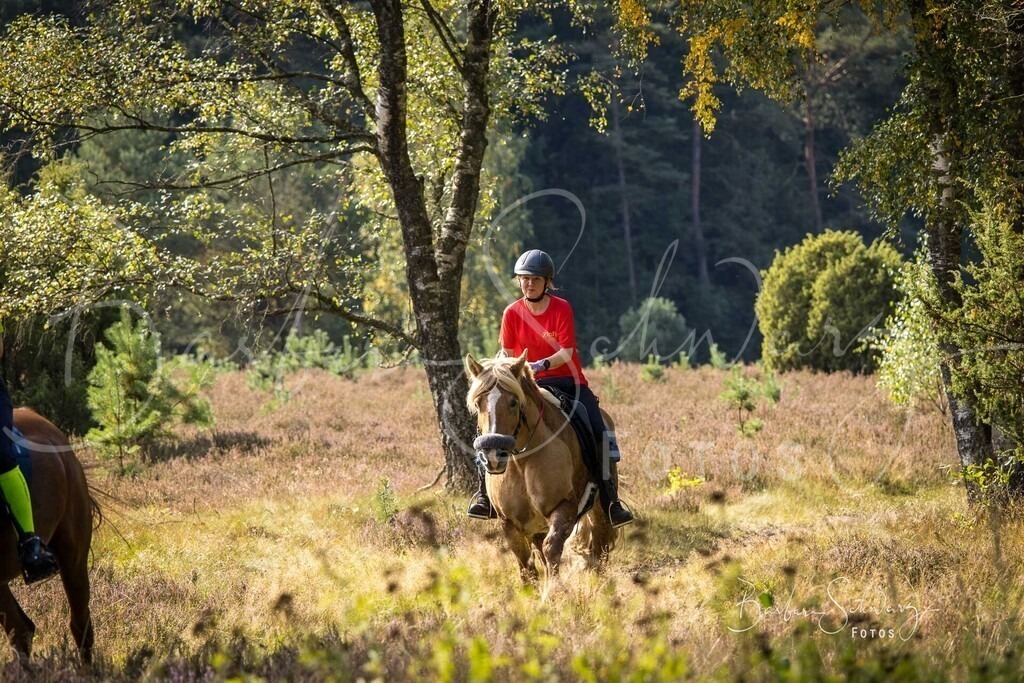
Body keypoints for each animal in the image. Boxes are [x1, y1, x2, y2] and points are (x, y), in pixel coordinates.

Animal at [465, 352, 617, 581]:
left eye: (513, 402)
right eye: (478, 403)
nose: (493, 454)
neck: (522, 461)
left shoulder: (564, 507)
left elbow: (551, 550)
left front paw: (554, 590)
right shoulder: (509, 523)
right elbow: (526, 567)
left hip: (599, 508)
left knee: (601, 546)